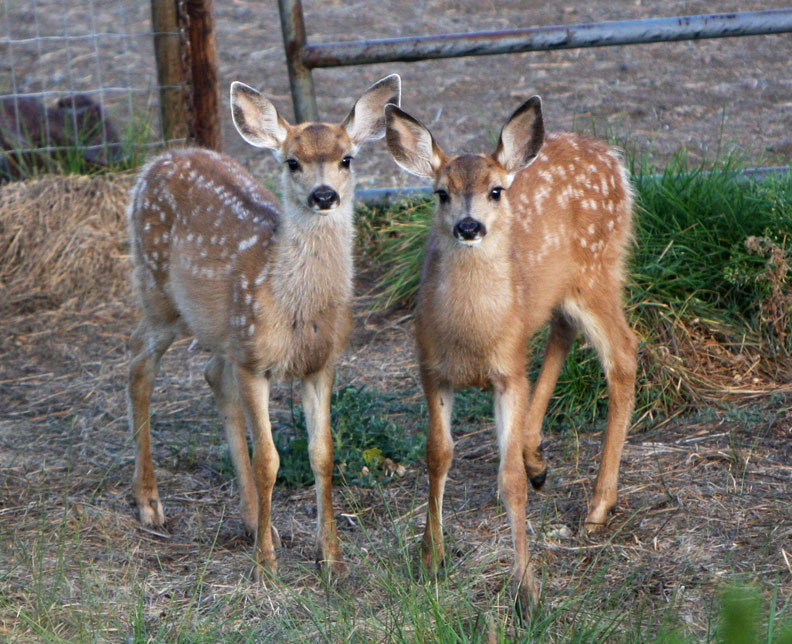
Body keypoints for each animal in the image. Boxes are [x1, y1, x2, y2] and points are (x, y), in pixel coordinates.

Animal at [129, 73, 402, 576]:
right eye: (293, 162)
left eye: (346, 159)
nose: (323, 196)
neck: (293, 307)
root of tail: (157, 160)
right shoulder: (255, 361)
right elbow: (268, 460)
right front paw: (266, 565)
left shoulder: (321, 363)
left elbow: (322, 454)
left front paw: (331, 559)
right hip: (158, 290)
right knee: (139, 363)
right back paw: (151, 504)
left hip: (224, 330)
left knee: (211, 373)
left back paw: (253, 519)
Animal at [386, 98, 640, 612]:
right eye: (441, 193)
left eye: (496, 191)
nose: (469, 226)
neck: (473, 340)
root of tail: (610, 155)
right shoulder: (432, 370)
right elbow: (437, 456)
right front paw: (430, 559)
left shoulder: (507, 373)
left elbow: (510, 482)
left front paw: (527, 590)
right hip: (562, 292)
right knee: (564, 331)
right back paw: (537, 457)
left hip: (597, 270)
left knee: (623, 354)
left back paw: (598, 506)